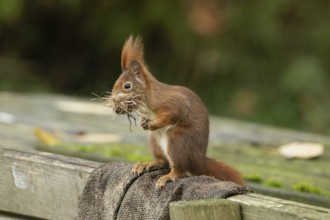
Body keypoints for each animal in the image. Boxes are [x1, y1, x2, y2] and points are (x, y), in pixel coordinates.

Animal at [111, 35, 245, 188]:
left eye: (127, 86)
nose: (113, 98)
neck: (147, 100)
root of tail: (198, 159)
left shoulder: (172, 102)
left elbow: (173, 114)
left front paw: (152, 124)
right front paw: (143, 121)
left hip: (178, 141)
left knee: (180, 169)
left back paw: (169, 176)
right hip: (154, 140)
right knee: (163, 161)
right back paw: (147, 164)